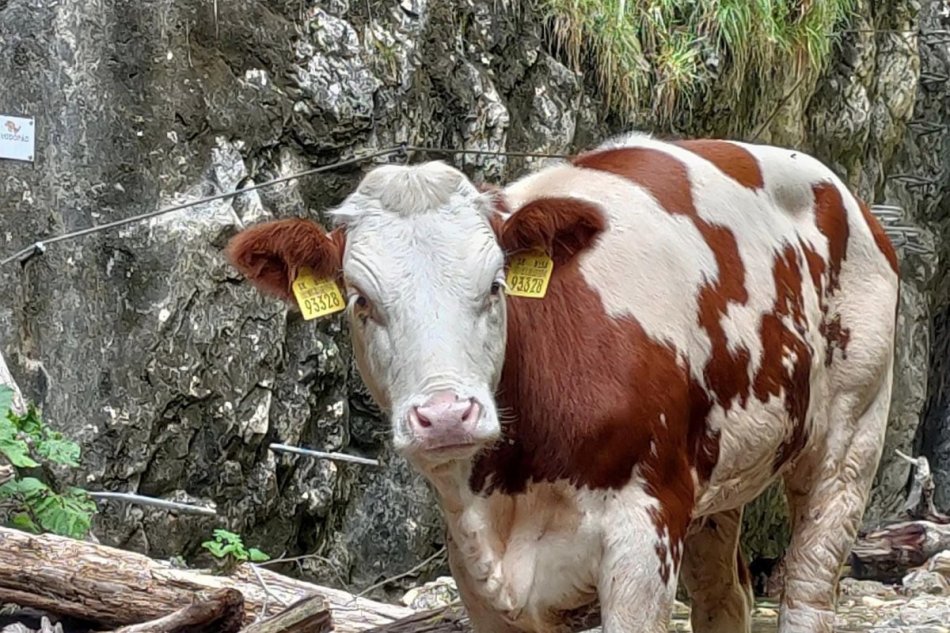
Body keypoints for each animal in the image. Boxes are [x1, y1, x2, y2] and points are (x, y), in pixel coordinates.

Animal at [227, 131, 904, 628]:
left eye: (496, 284)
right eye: (360, 300)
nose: (446, 414)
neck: (509, 487)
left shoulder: (642, 537)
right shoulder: (477, 577)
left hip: (851, 436)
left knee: (810, 586)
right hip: (720, 478)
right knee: (724, 598)